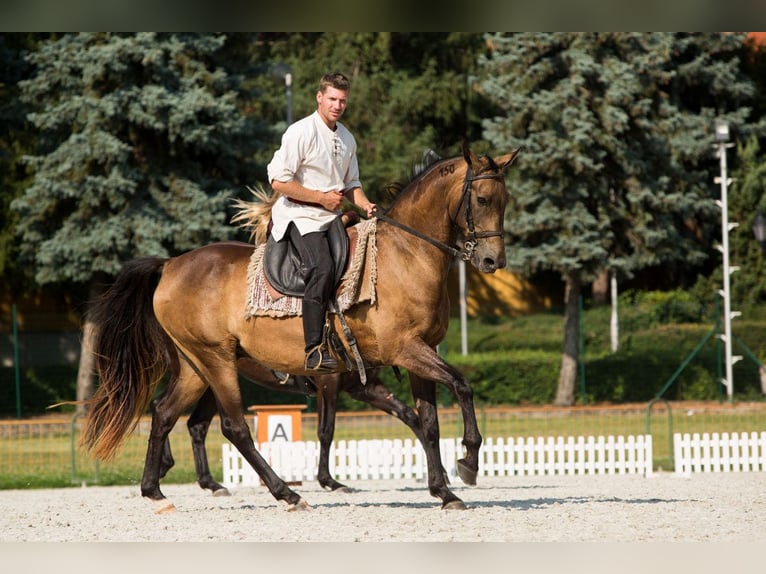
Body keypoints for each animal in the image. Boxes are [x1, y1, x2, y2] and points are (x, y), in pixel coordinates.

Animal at [82, 144, 520, 512]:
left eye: (505, 202)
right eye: (482, 199)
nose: (492, 261)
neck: (405, 255)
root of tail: (170, 265)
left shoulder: (415, 358)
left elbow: (426, 423)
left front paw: (444, 490)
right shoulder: (399, 353)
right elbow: (460, 385)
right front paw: (468, 460)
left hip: (195, 367)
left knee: (165, 414)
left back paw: (154, 490)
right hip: (215, 360)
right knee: (233, 427)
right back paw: (285, 493)